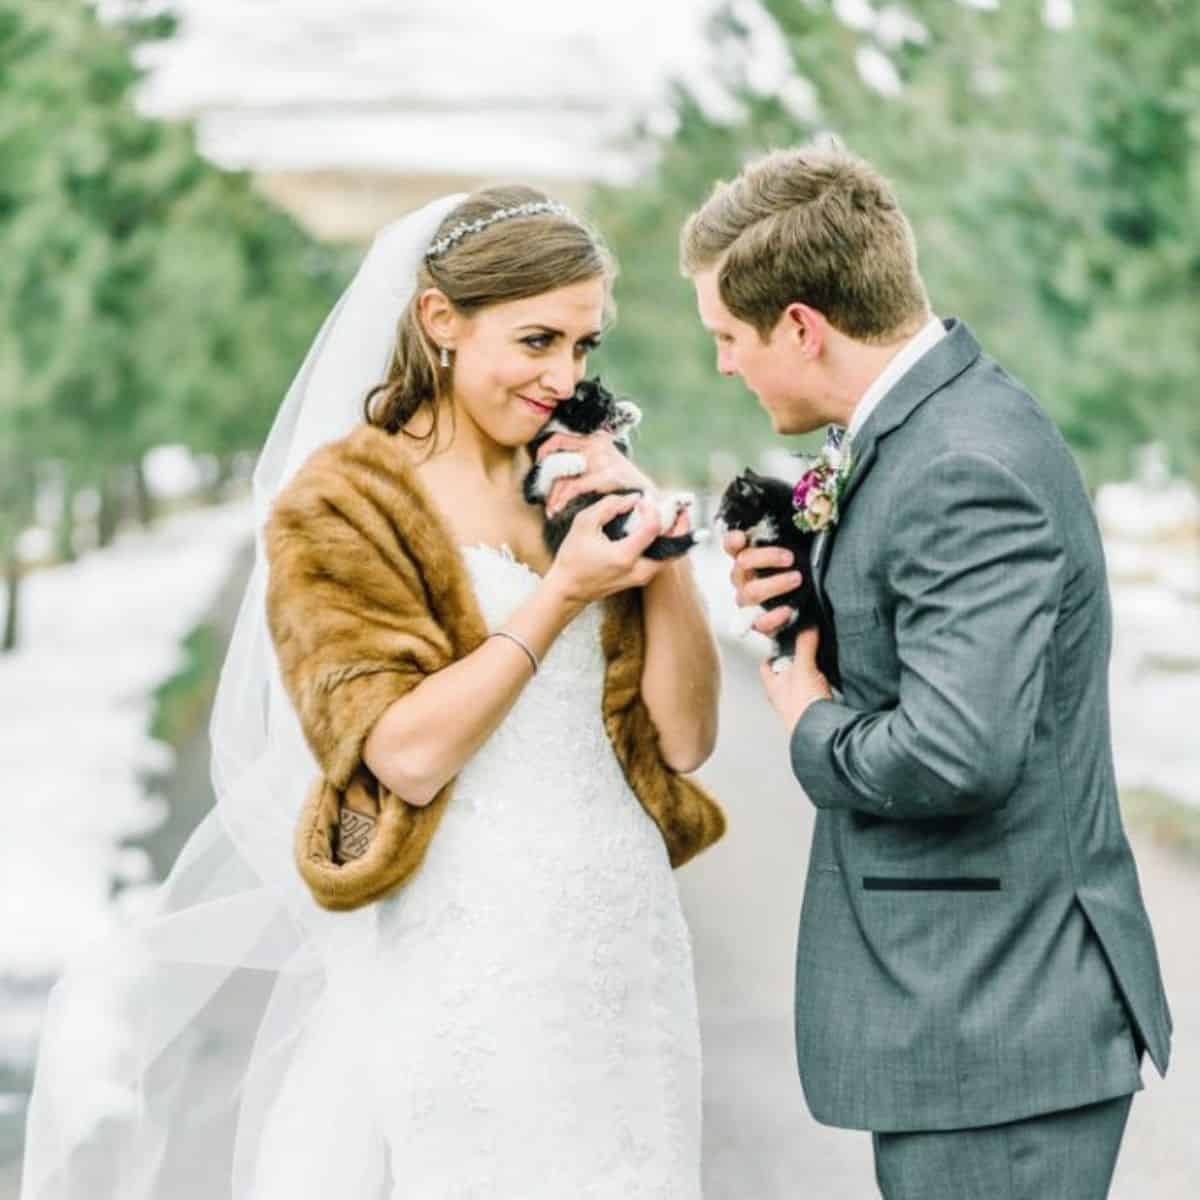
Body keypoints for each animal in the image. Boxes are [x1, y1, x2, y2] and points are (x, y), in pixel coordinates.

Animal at [523, 376, 705, 559]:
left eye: (610, 398)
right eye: (603, 403)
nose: (614, 408)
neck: (569, 429)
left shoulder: (618, 448)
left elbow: (619, 440)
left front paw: (628, 411)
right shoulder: (536, 482)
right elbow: (542, 470)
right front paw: (575, 461)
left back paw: (677, 502)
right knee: (630, 530)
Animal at [715, 463, 840, 686]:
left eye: (725, 508)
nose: (714, 520)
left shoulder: (801, 578)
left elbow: (777, 600)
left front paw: (740, 621)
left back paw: (784, 662)